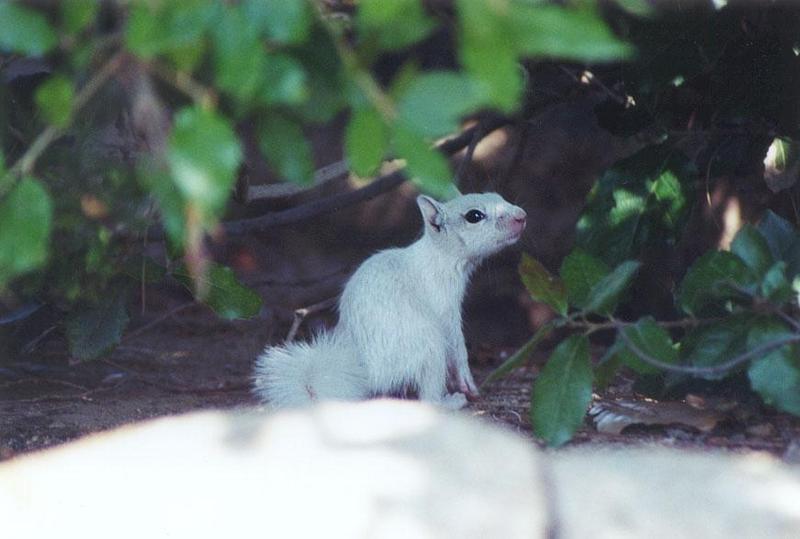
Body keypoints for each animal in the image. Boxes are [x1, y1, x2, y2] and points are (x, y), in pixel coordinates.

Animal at [255, 193, 524, 410]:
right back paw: (452, 402)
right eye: (474, 216)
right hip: (429, 345)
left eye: (498, 195)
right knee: (429, 401)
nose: (522, 216)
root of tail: (366, 370)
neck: (441, 256)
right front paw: (467, 382)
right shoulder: (444, 305)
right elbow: (457, 345)